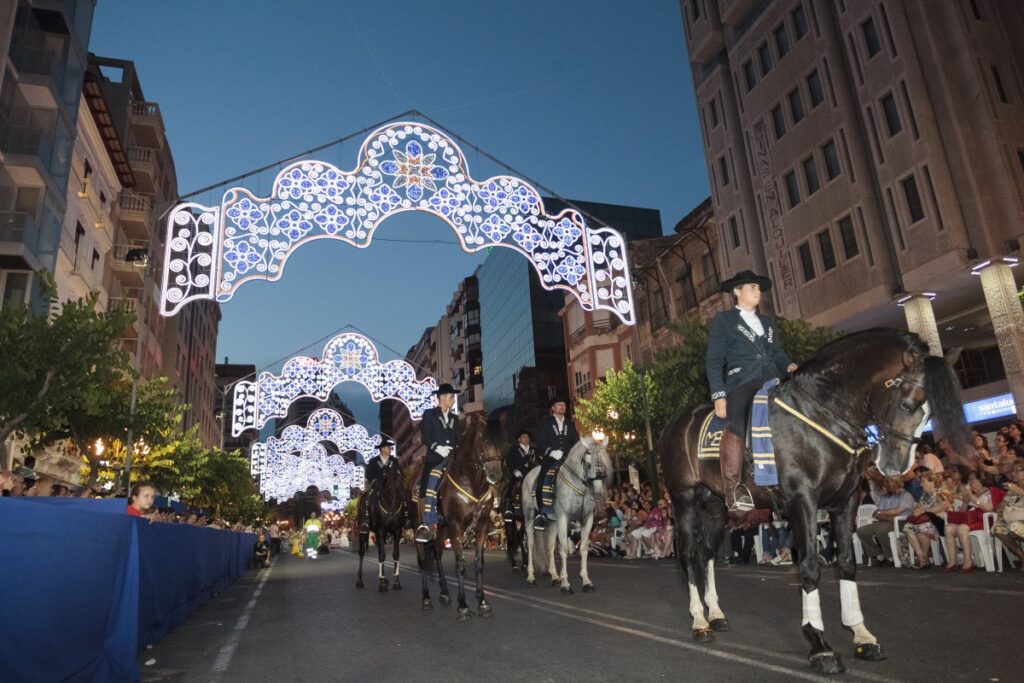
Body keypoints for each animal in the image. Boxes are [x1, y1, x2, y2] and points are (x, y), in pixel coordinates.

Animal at [409, 409, 501, 622]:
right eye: (485, 440)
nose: (496, 475)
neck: (472, 482)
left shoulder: (482, 525)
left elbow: (479, 563)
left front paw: (482, 603)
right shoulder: (457, 526)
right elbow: (460, 564)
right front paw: (463, 606)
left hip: (442, 528)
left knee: (437, 554)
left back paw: (444, 592)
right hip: (418, 526)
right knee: (421, 560)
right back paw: (426, 599)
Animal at [524, 438, 610, 593]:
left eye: (604, 465)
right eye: (588, 464)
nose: (598, 493)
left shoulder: (587, 519)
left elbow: (584, 548)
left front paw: (586, 581)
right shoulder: (564, 518)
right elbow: (563, 549)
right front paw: (565, 584)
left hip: (553, 522)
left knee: (550, 546)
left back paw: (554, 576)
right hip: (529, 516)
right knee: (531, 544)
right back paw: (531, 577)